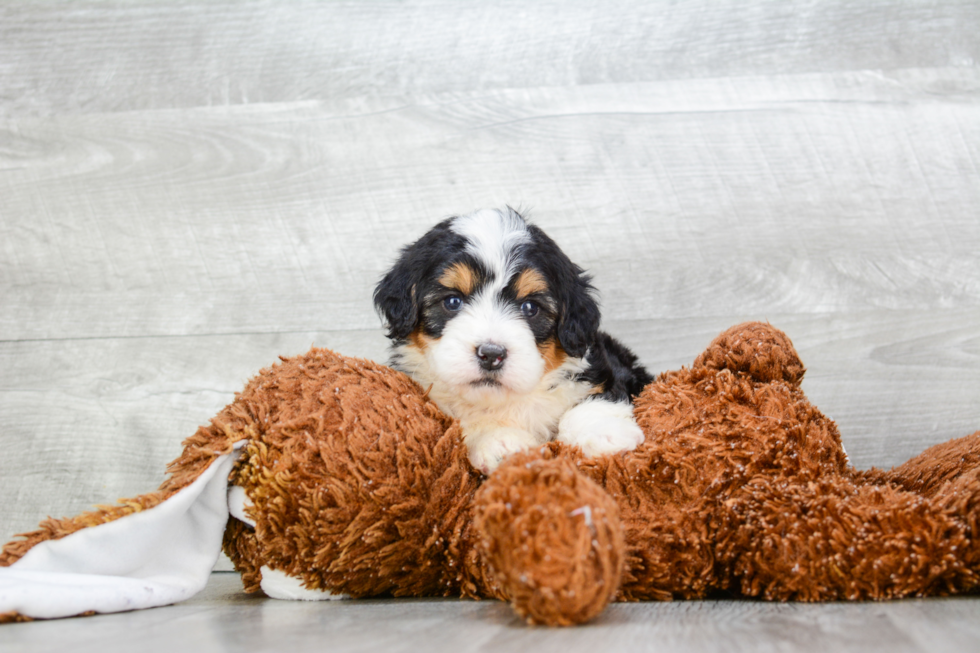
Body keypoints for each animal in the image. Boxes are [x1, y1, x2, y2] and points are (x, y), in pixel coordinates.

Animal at [372, 209, 656, 474]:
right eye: (453, 301)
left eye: (530, 307)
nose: (491, 354)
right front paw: (501, 443)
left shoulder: (602, 366)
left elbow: (600, 393)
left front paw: (603, 431)